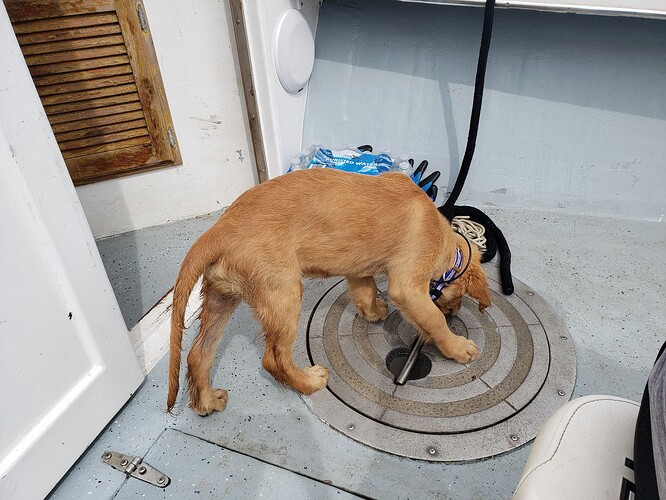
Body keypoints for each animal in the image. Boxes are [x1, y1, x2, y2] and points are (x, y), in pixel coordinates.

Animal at [166, 168, 488, 414]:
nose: (455, 312)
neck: (444, 240)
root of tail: (218, 231)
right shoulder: (407, 286)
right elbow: (433, 319)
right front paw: (459, 347)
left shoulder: (358, 268)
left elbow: (367, 290)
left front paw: (374, 312)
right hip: (283, 292)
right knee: (274, 358)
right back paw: (309, 381)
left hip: (222, 295)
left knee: (198, 354)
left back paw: (207, 402)